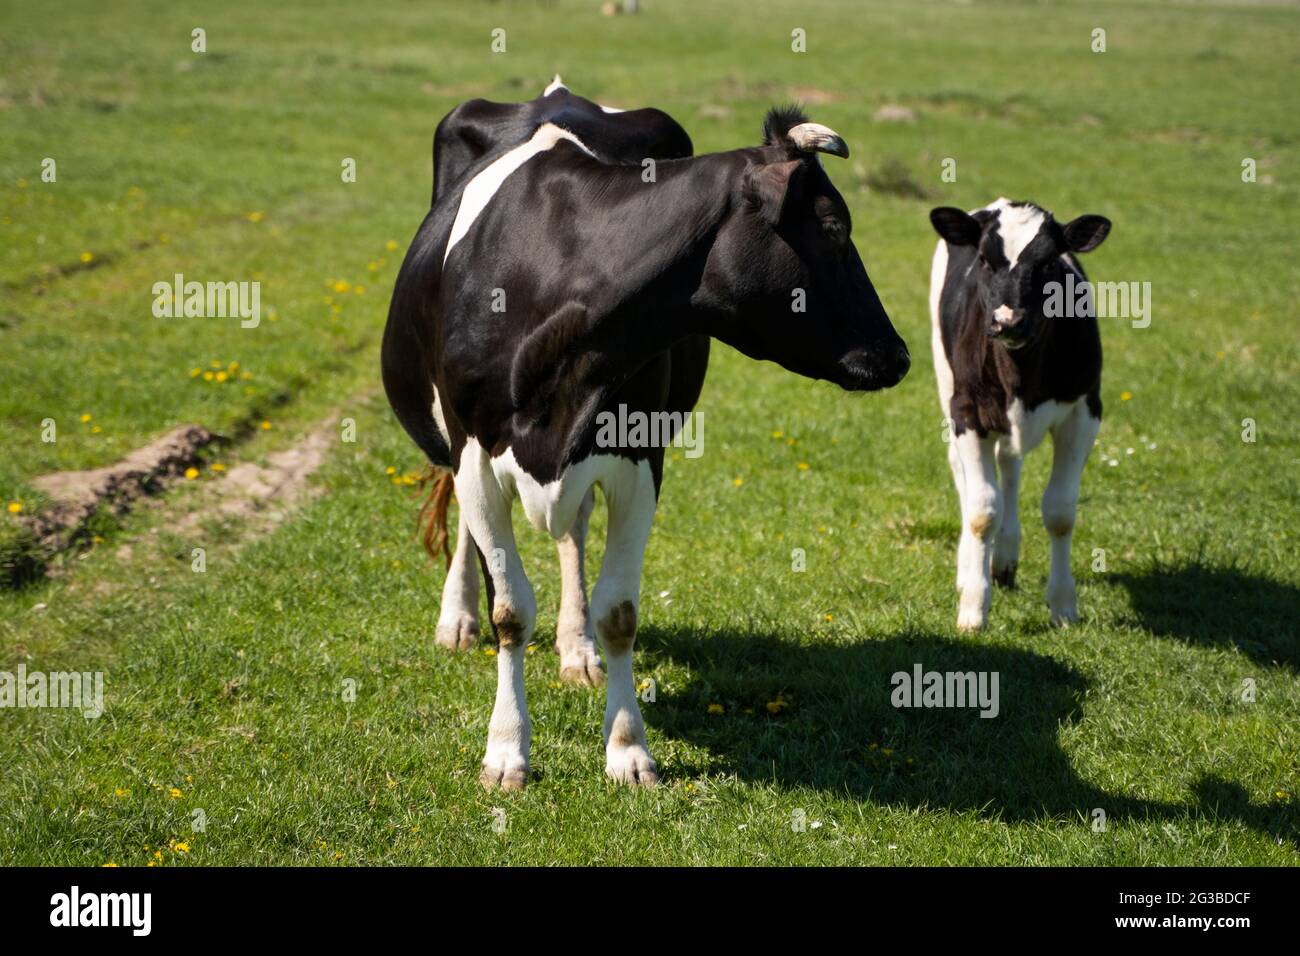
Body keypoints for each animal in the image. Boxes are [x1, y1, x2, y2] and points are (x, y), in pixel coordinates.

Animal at [383, 86, 910, 789]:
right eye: (833, 228)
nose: (898, 355)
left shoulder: (639, 456)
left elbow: (620, 612)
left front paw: (627, 748)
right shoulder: (474, 454)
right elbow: (510, 611)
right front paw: (506, 749)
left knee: (574, 532)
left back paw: (576, 649)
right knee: (472, 531)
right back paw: (458, 617)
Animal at [928, 198, 1111, 631]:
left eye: (1048, 262)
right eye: (983, 259)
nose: (1007, 320)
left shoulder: (1085, 410)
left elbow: (1060, 512)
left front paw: (1063, 605)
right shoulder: (968, 412)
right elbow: (982, 511)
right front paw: (973, 608)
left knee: (1010, 466)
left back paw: (1005, 558)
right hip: (946, 382)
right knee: (964, 475)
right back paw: (969, 570)